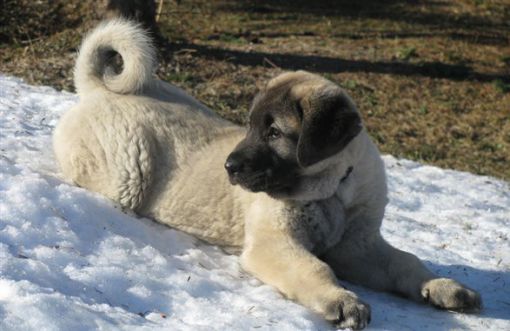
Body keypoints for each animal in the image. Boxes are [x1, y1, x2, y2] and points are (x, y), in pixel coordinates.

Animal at [53, 20, 480, 330]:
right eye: (250, 127)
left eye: (273, 133)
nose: (228, 167)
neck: (332, 190)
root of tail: (97, 90)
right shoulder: (276, 243)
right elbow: (314, 266)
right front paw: (341, 299)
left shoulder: (359, 248)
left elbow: (405, 261)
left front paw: (444, 287)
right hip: (128, 175)